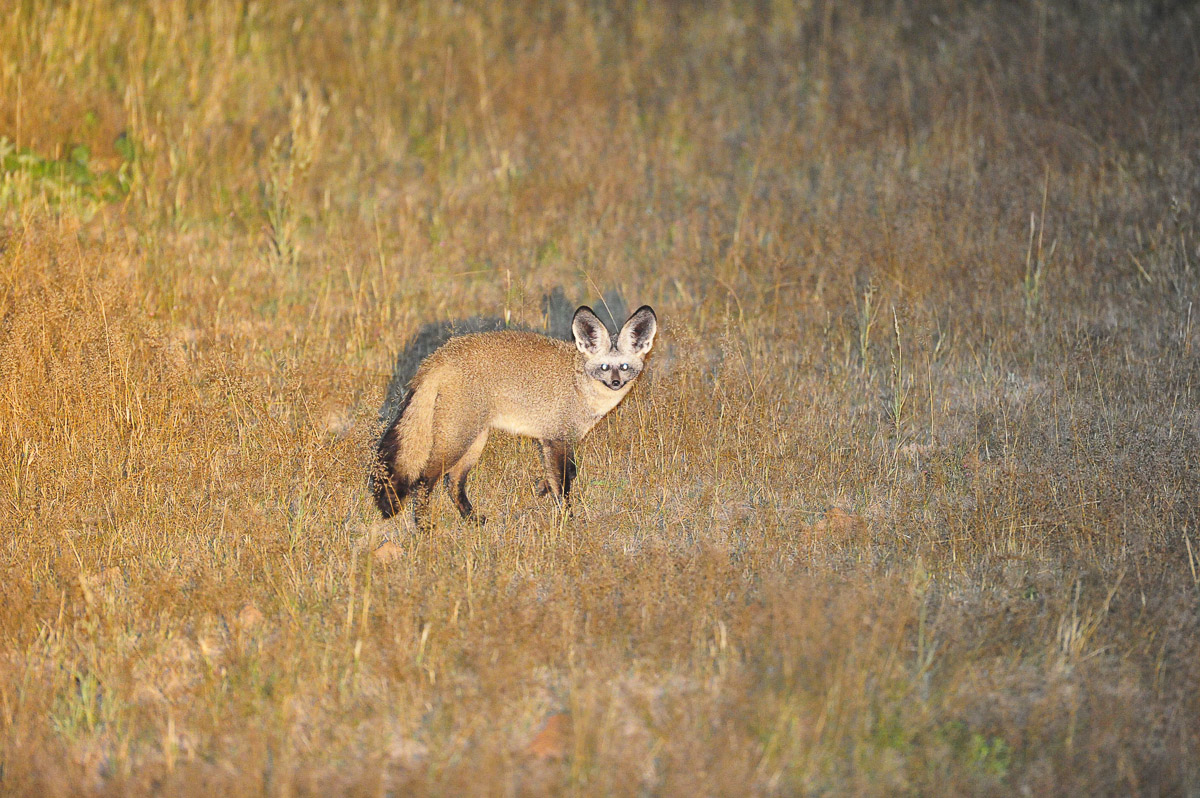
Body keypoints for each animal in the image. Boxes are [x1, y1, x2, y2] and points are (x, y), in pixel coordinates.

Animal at [372, 304, 658, 529]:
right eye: (604, 367)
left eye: (624, 367)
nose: (616, 383)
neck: (579, 385)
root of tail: (440, 355)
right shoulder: (557, 441)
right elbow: (565, 484)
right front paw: (567, 518)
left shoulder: (553, 441)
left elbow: (567, 474)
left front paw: (543, 488)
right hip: (457, 441)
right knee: (424, 480)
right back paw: (424, 527)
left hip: (475, 440)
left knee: (452, 482)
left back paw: (471, 518)